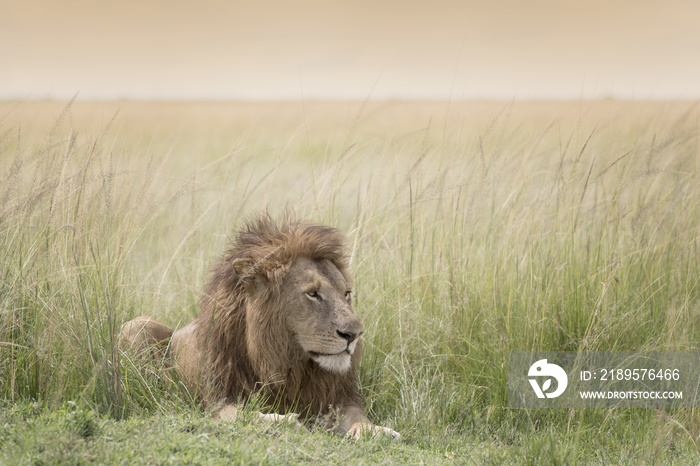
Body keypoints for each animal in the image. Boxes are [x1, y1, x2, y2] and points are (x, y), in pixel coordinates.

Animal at [120, 217, 400, 438]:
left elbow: (358, 417)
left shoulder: (337, 397)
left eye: (346, 294)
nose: (353, 334)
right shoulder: (218, 399)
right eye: (312, 293)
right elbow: (244, 415)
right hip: (136, 325)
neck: (286, 362)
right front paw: (283, 422)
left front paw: (377, 431)